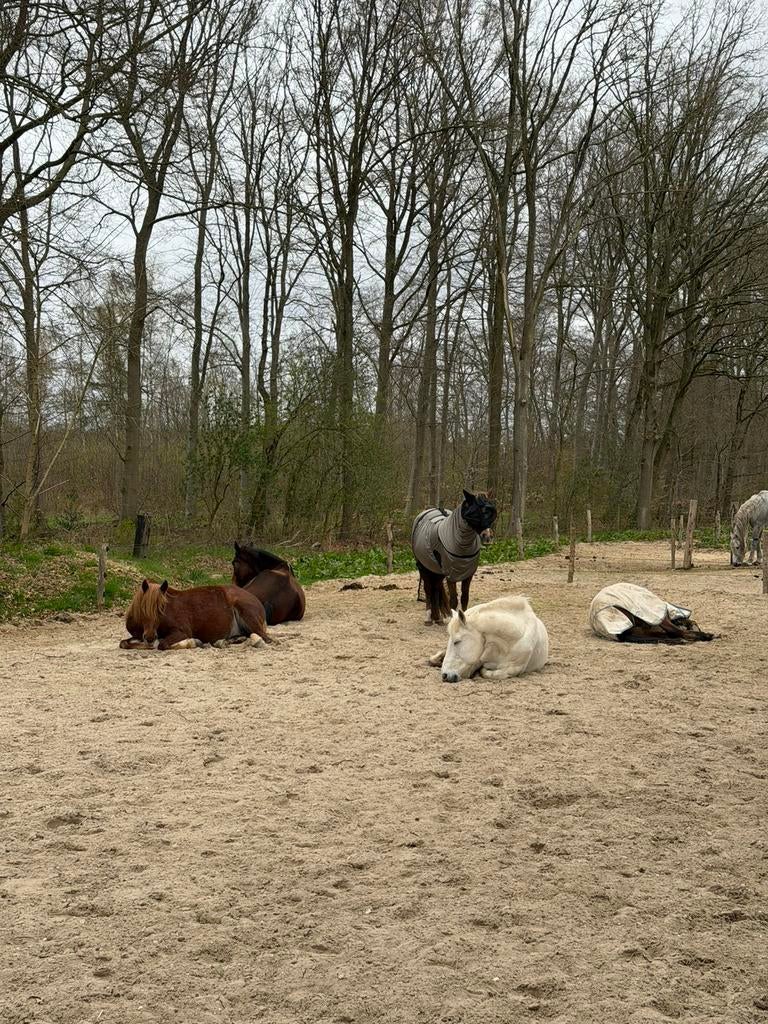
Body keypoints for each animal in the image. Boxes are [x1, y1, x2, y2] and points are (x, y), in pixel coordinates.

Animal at [119, 579, 271, 650]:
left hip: (249, 617)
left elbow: (162, 644)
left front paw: (193, 642)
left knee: (263, 638)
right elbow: (123, 643)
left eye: (161, 608)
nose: (150, 637)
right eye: (143, 608)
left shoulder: (182, 632)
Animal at [411, 490, 497, 624]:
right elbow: (453, 600)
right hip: (424, 566)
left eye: (491, 512)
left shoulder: (467, 574)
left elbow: (464, 598)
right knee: (428, 589)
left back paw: (438, 618)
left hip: (437, 571)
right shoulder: (451, 575)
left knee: (437, 588)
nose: (487, 537)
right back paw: (429, 617)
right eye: (475, 513)